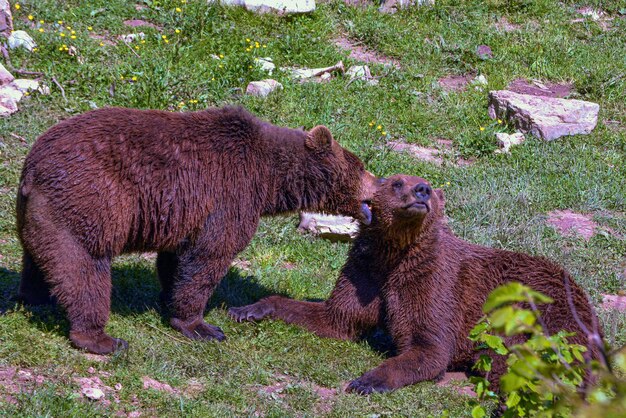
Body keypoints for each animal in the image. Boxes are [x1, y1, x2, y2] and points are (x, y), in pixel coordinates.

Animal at [15, 106, 376, 354]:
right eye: (360, 166)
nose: (380, 181)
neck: (271, 179)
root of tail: (32, 166)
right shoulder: (229, 194)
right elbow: (207, 256)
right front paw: (204, 326)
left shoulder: (183, 213)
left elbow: (176, 260)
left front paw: (169, 302)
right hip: (90, 200)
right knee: (86, 266)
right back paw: (100, 338)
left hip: (45, 214)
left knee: (41, 259)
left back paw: (36, 299)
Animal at [229, 174, 600, 396]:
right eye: (397, 182)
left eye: (429, 185)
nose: (422, 192)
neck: (394, 254)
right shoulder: (366, 271)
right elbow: (336, 317)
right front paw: (248, 308)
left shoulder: (432, 281)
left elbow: (428, 345)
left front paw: (367, 380)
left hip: (539, 314)